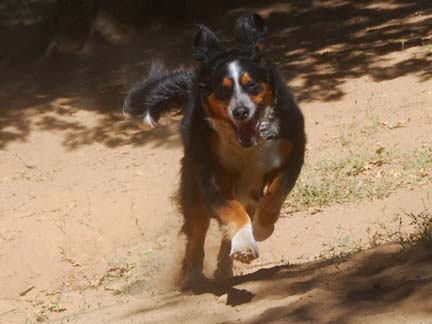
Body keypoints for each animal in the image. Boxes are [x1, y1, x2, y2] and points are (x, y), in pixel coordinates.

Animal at [121, 13, 306, 292]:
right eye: (223, 90)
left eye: (252, 85)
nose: (240, 112)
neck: (248, 144)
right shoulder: (209, 175)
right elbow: (231, 210)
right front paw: (244, 241)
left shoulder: (292, 151)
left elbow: (275, 194)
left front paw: (262, 228)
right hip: (193, 186)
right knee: (196, 235)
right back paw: (193, 275)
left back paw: (225, 264)